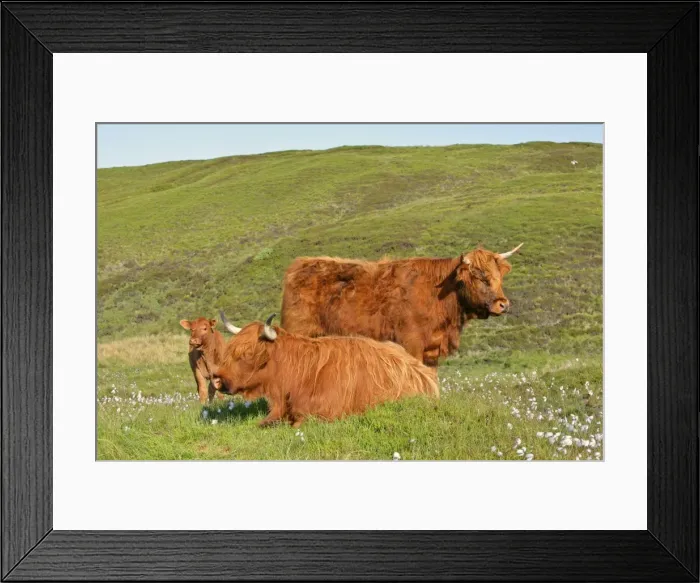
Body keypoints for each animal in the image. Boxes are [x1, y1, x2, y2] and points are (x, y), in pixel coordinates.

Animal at [280, 243, 523, 367]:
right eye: (481, 277)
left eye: (499, 277)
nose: (503, 304)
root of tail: (301, 264)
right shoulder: (411, 343)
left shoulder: (431, 349)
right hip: (298, 331)